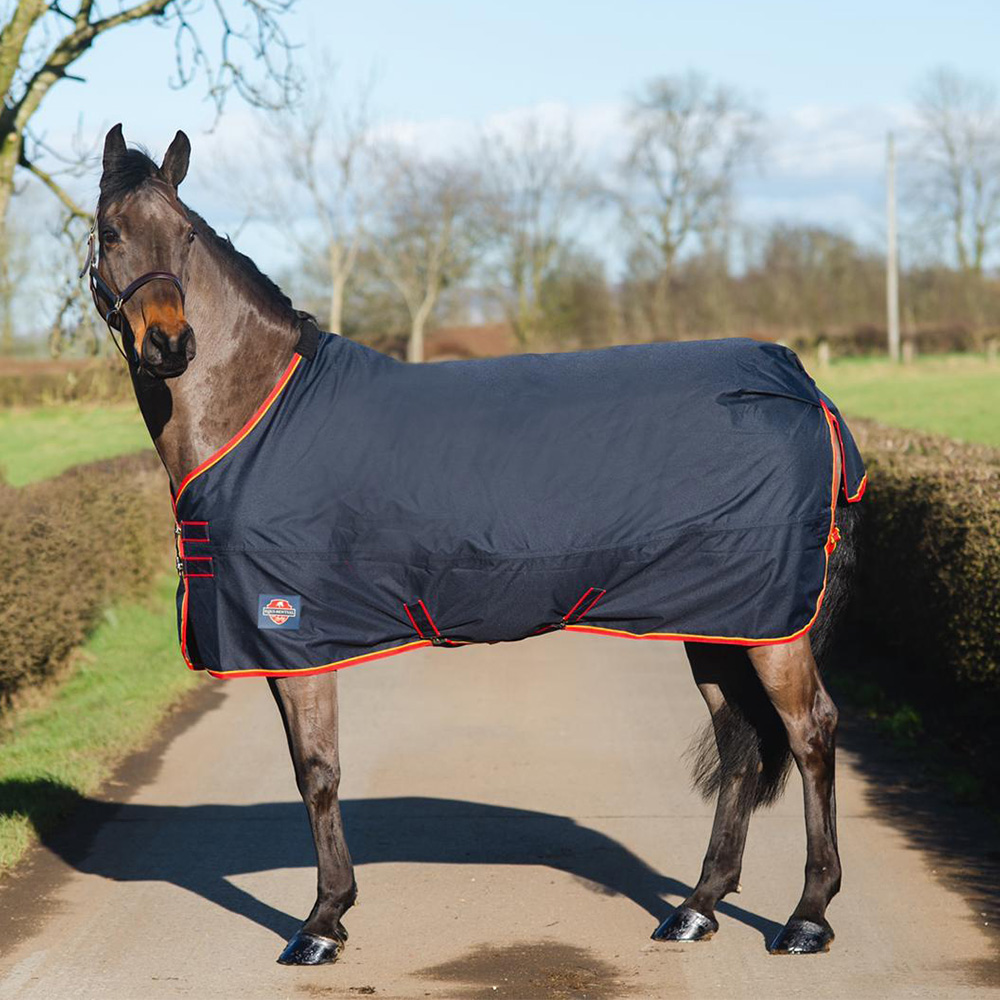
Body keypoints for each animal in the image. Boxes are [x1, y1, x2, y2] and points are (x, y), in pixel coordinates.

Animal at [85, 124, 863, 966]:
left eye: (186, 235)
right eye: (111, 231)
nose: (170, 343)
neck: (258, 411)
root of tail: (800, 387)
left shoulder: (292, 629)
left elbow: (316, 773)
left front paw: (322, 922)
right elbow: (314, 771)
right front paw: (333, 910)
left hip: (768, 625)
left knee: (811, 732)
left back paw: (807, 917)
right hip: (719, 619)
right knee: (739, 742)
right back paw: (697, 907)